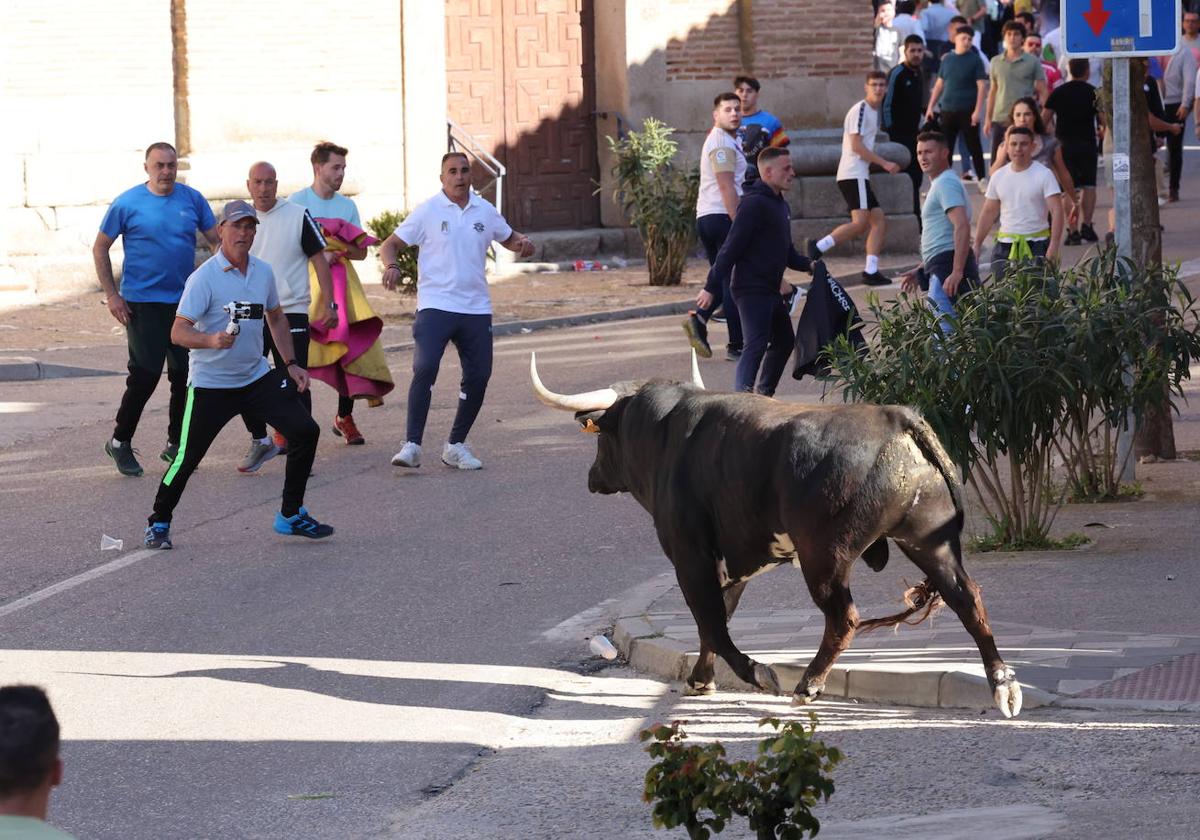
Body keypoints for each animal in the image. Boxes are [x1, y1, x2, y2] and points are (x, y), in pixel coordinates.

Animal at [532, 350, 1022, 720]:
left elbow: (711, 622)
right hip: (929, 541)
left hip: (825, 557)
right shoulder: (731, 564)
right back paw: (1003, 686)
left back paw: (807, 685)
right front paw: (700, 680)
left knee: (843, 618)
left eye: (600, 438)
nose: (592, 477)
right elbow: (714, 622)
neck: (665, 433)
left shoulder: (690, 557)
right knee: (967, 598)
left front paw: (755, 674)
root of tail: (894, 417)